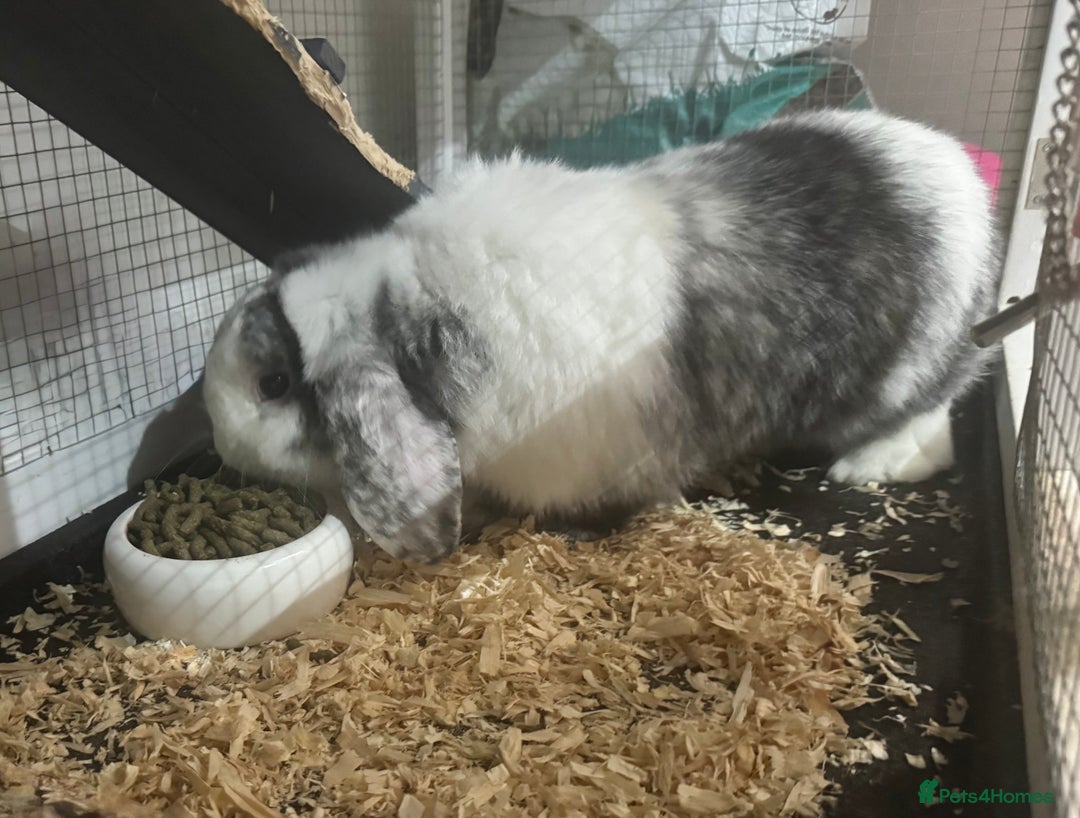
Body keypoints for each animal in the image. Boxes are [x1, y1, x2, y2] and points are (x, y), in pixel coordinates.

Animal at [201, 108, 1001, 563]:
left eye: (273, 383)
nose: (220, 443)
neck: (414, 309)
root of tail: (963, 179)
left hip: (912, 371)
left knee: (931, 424)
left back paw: (867, 466)